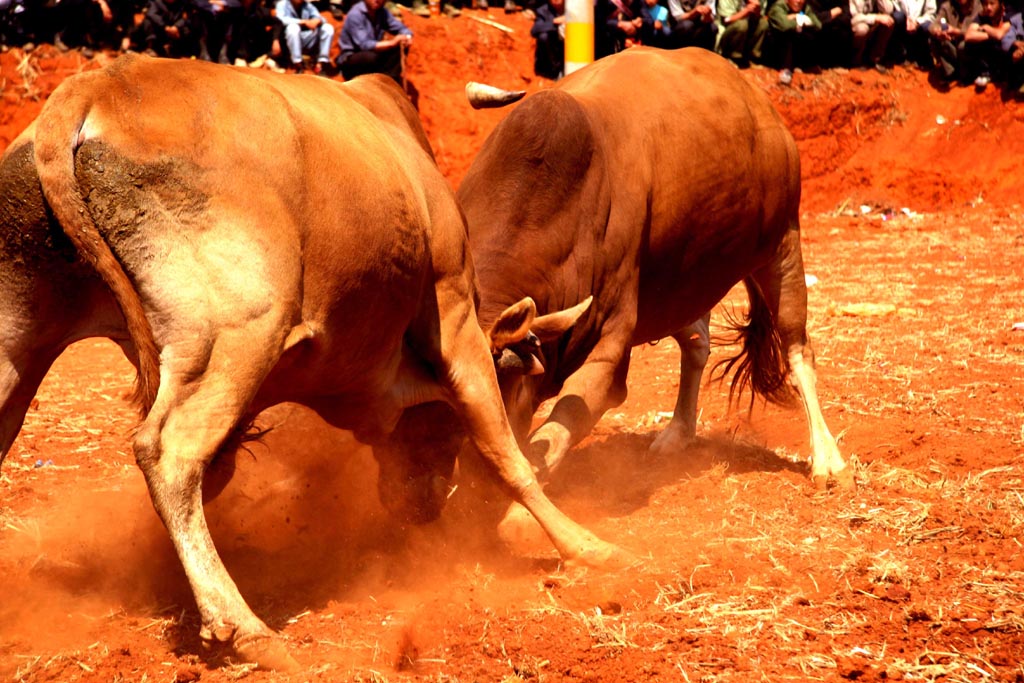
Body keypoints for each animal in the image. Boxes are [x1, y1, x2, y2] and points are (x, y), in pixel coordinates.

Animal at [0, 54, 618, 671]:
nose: (423, 506)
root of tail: (96, 88)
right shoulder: (453, 307)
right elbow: (503, 451)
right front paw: (586, 545)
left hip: (20, 350)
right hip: (240, 333)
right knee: (168, 452)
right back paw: (244, 627)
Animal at [460, 46, 851, 497]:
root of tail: (760, 104)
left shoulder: (608, 347)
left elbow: (556, 435)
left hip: (783, 245)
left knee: (798, 349)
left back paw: (827, 457)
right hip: (685, 283)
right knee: (697, 345)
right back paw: (678, 433)